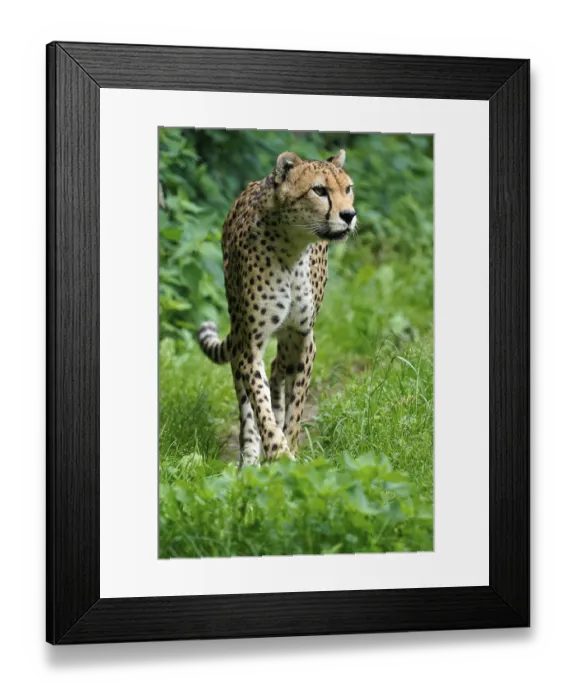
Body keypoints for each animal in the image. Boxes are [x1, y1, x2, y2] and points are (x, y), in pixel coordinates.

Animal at [197, 149, 356, 467]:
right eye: (319, 190)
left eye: (348, 189)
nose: (349, 215)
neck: (292, 249)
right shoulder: (250, 343)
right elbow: (259, 402)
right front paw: (277, 452)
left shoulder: (303, 337)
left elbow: (296, 405)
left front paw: (289, 447)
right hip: (240, 331)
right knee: (246, 396)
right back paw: (249, 456)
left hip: (287, 340)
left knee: (278, 368)